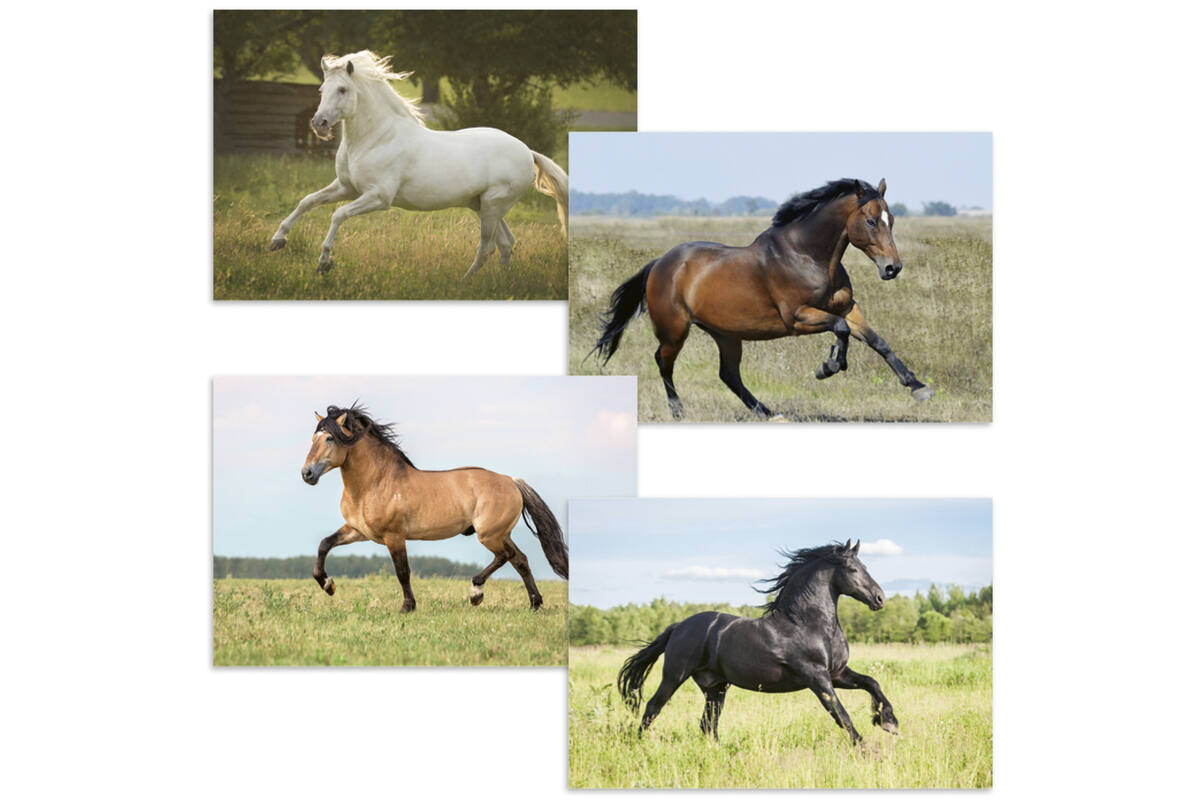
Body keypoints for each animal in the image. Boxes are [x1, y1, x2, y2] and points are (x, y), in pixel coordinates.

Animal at [268, 51, 569, 277]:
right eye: (322, 89)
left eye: (342, 89)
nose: (318, 124)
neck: (375, 138)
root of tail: (527, 151)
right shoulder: (346, 187)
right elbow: (307, 201)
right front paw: (277, 241)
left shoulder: (378, 197)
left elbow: (338, 215)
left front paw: (324, 263)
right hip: (484, 206)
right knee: (506, 243)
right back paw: (498, 282)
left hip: (494, 206)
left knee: (487, 248)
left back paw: (465, 282)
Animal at [300, 403, 568, 612]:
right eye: (313, 439)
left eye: (330, 438)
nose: (307, 474)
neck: (374, 484)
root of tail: (512, 481)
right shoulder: (359, 531)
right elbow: (325, 544)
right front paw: (328, 585)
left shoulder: (394, 536)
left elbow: (403, 571)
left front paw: (407, 607)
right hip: (501, 533)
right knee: (520, 560)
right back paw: (534, 604)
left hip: (489, 534)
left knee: (505, 556)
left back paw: (476, 593)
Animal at [593, 178, 934, 419]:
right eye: (871, 221)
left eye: (892, 220)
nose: (892, 268)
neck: (808, 256)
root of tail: (660, 264)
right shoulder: (797, 317)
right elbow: (841, 329)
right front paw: (828, 366)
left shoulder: (849, 307)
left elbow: (877, 341)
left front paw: (917, 387)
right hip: (675, 331)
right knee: (663, 363)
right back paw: (678, 412)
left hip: (726, 335)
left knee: (729, 375)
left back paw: (767, 412)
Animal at [617, 540, 897, 746]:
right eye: (853, 569)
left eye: (865, 565)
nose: (880, 599)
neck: (808, 624)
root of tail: (678, 627)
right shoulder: (817, 676)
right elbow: (840, 713)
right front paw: (865, 749)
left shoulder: (837, 673)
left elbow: (872, 683)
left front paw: (888, 722)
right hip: (674, 676)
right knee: (653, 707)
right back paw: (638, 744)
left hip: (715, 687)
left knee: (708, 723)